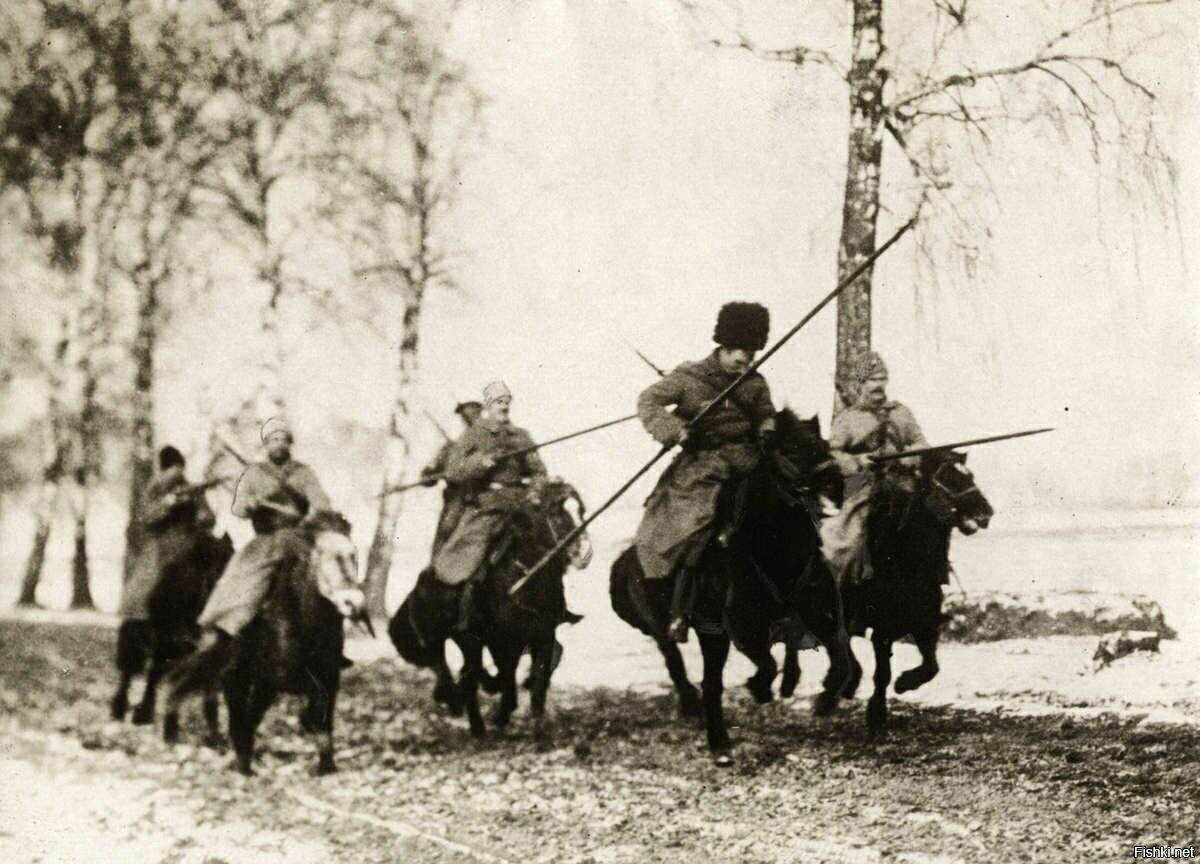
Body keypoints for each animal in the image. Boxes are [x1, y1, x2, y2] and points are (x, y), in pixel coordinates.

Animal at [111, 530, 235, 734]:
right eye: (219, 569)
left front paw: (215, 734)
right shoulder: (173, 641)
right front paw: (170, 727)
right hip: (140, 633)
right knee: (130, 669)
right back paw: (120, 711)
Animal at [163, 513, 369, 777]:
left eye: (354, 555)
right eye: (320, 555)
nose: (352, 602)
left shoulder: (326, 679)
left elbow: (322, 720)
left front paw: (326, 766)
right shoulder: (254, 680)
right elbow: (244, 720)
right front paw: (244, 765)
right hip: (211, 656)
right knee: (181, 680)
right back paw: (173, 734)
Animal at [391, 480, 592, 734]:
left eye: (580, 510)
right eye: (554, 512)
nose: (583, 553)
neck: (524, 582)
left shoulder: (543, 636)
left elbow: (538, 681)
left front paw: (536, 723)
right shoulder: (504, 642)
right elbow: (508, 675)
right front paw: (503, 713)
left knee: (471, 673)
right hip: (444, 640)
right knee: (452, 671)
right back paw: (469, 716)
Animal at [609, 408, 854, 768]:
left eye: (823, 443)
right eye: (790, 448)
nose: (834, 483)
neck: (777, 554)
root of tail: (628, 559)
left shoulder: (822, 616)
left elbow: (841, 660)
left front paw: (824, 700)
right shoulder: (742, 628)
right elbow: (767, 663)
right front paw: (759, 688)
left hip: (711, 634)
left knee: (711, 682)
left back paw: (719, 739)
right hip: (676, 630)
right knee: (684, 669)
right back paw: (706, 726)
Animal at [835, 451, 993, 734]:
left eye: (970, 475)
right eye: (948, 478)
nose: (986, 513)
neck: (906, 564)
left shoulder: (924, 624)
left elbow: (931, 666)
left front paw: (905, 683)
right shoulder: (883, 630)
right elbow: (882, 674)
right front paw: (876, 715)